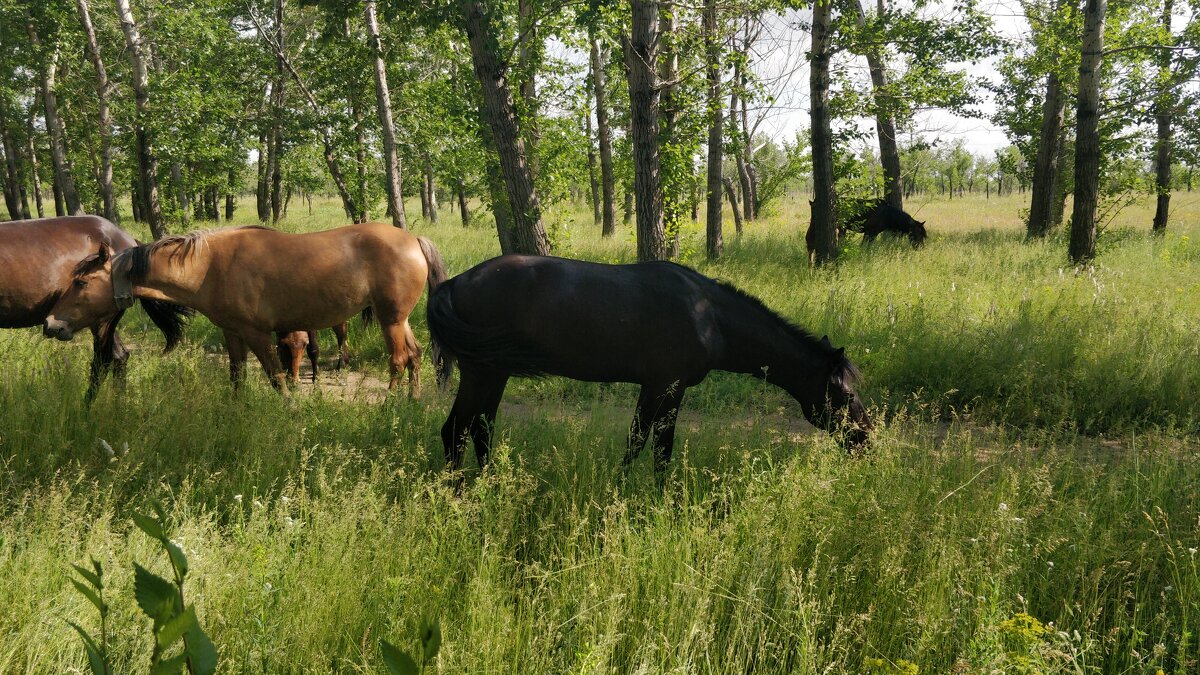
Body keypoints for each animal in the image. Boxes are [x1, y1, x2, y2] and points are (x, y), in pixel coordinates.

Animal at [44, 223, 451, 391]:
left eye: (80, 283)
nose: (51, 324)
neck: (210, 266)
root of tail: (414, 239)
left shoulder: (257, 334)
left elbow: (276, 376)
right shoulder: (233, 333)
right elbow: (237, 376)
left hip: (389, 319)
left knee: (398, 359)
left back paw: (390, 404)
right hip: (399, 319)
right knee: (415, 355)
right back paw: (412, 400)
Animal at [427, 253, 868, 473]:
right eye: (846, 396)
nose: (866, 439)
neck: (709, 316)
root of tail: (454, 282)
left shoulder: (659, 389)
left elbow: (646, 444)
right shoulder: (666, 387)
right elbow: (651, 447)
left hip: (495, 373)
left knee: (481, 430)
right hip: (481, 373)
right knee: (455, 432)